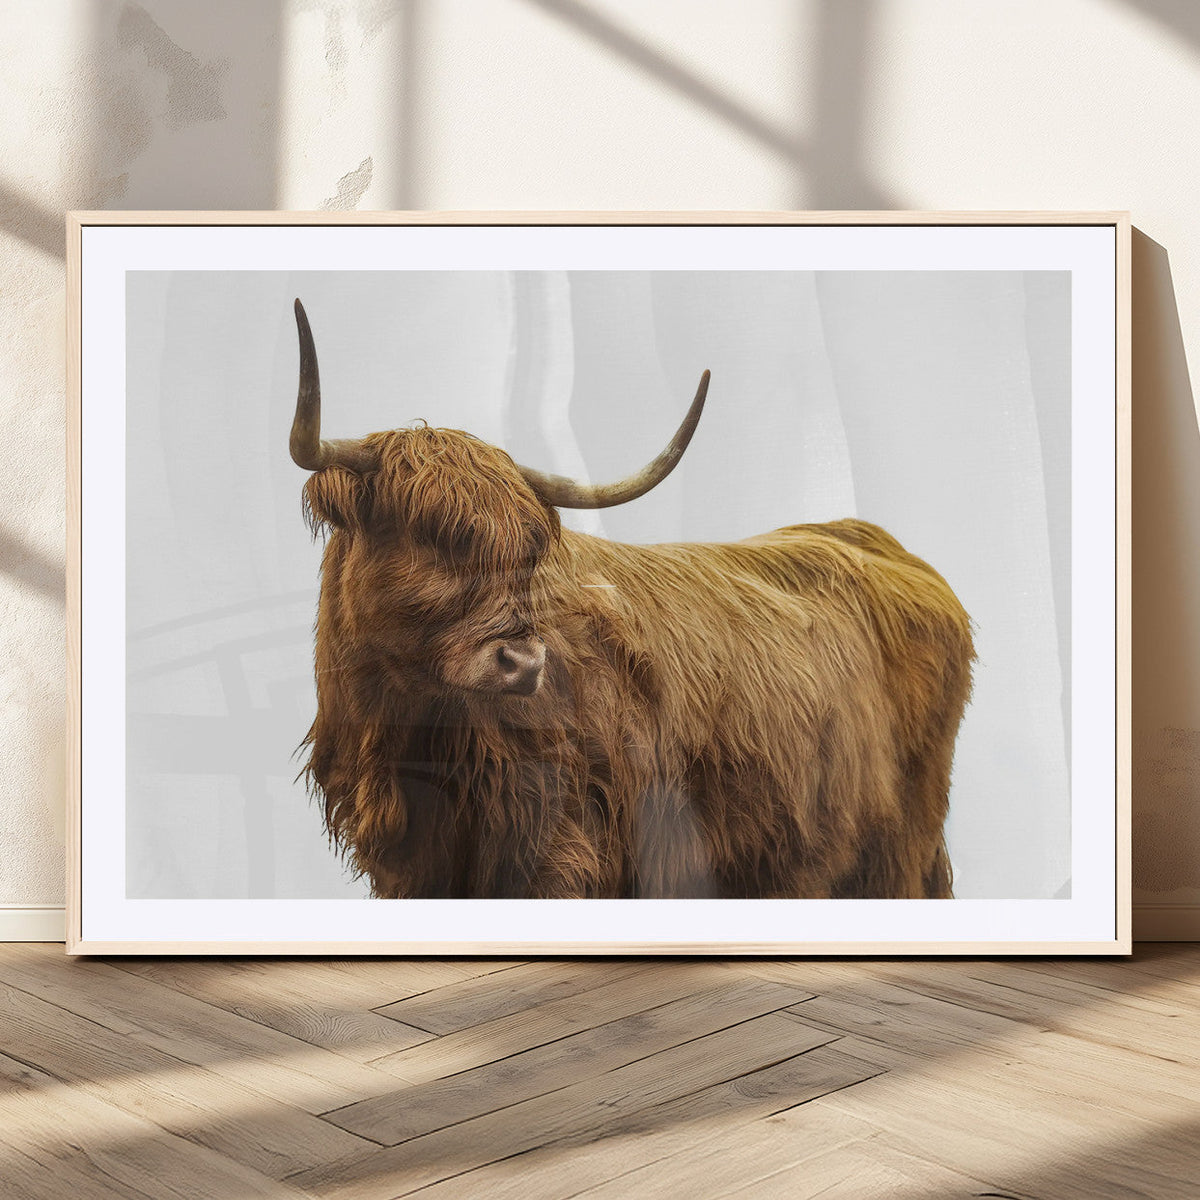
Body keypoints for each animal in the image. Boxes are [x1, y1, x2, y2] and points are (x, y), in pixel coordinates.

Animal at [290, 299, 974, 900]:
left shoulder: (563, 850)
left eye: (531, 550)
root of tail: (870, 538)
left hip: (896, 842)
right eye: (428, 535)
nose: (524, 663)